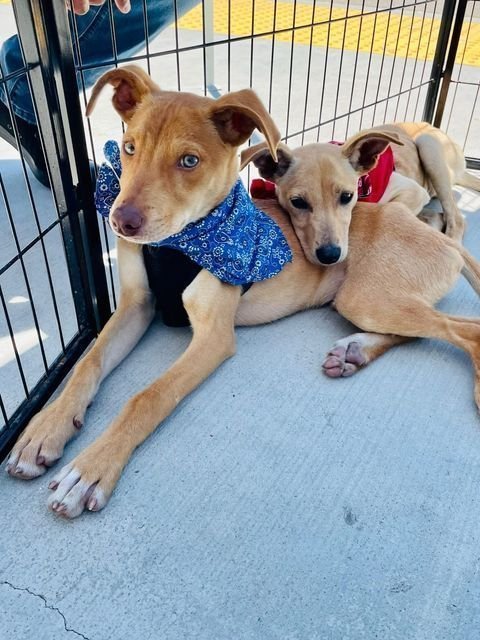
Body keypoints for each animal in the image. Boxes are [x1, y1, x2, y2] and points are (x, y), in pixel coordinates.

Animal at [243, 123, 480, 265]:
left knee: (457, 219)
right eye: (298, 202)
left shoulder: (413, 191)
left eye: (347, 197)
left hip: (428, 145)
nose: (330, 256)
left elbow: (388, 207)